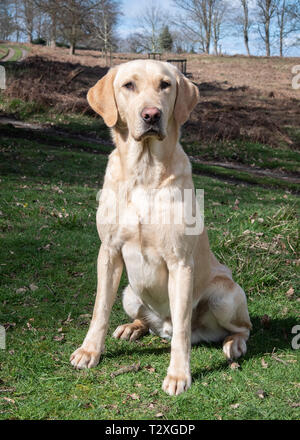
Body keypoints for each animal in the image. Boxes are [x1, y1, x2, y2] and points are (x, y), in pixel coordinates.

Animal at [69, 59, 251, 396]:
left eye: (165, 85)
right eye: (128, 85)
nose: (151, 115)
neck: (144, 171)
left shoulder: (180, 263)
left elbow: (182, 329)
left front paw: (179, 375)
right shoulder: (109, 252)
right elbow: (100, 309)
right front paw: (90, 351)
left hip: (225, 295)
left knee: (239, 327)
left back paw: (234, 345)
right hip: (130, 292)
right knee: (145, 319)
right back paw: (132, 328)